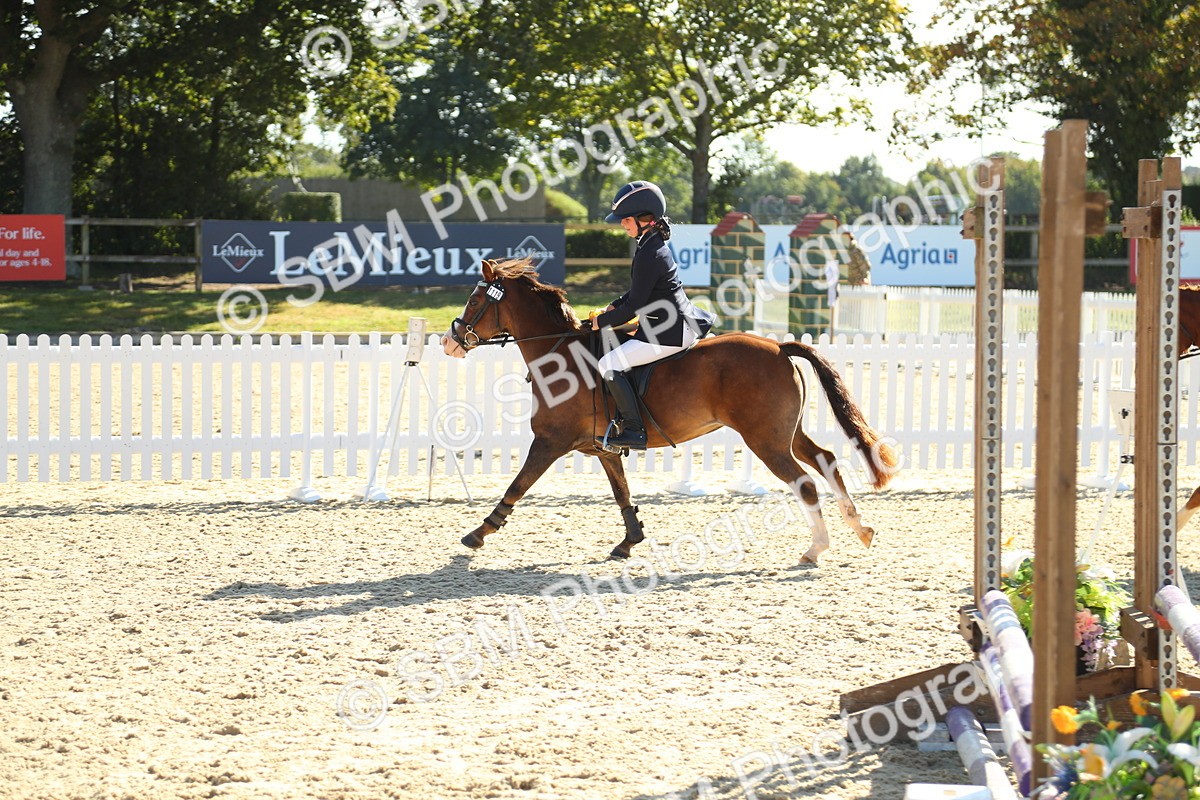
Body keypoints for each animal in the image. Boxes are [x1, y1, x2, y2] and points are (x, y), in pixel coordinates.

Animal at [439, 258, 898, 563]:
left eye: (476, 299)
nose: (449, 341)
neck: (560, 353)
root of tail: (778, 346)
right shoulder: (602, 448)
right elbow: (622, 493)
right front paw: (630, 541)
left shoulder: (550, 442)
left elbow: (517, 486)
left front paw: (478, 533)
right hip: (785, 433)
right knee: (826, 459)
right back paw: (861, 529)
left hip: (765, 440)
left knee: (804, 483)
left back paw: (815, 548)